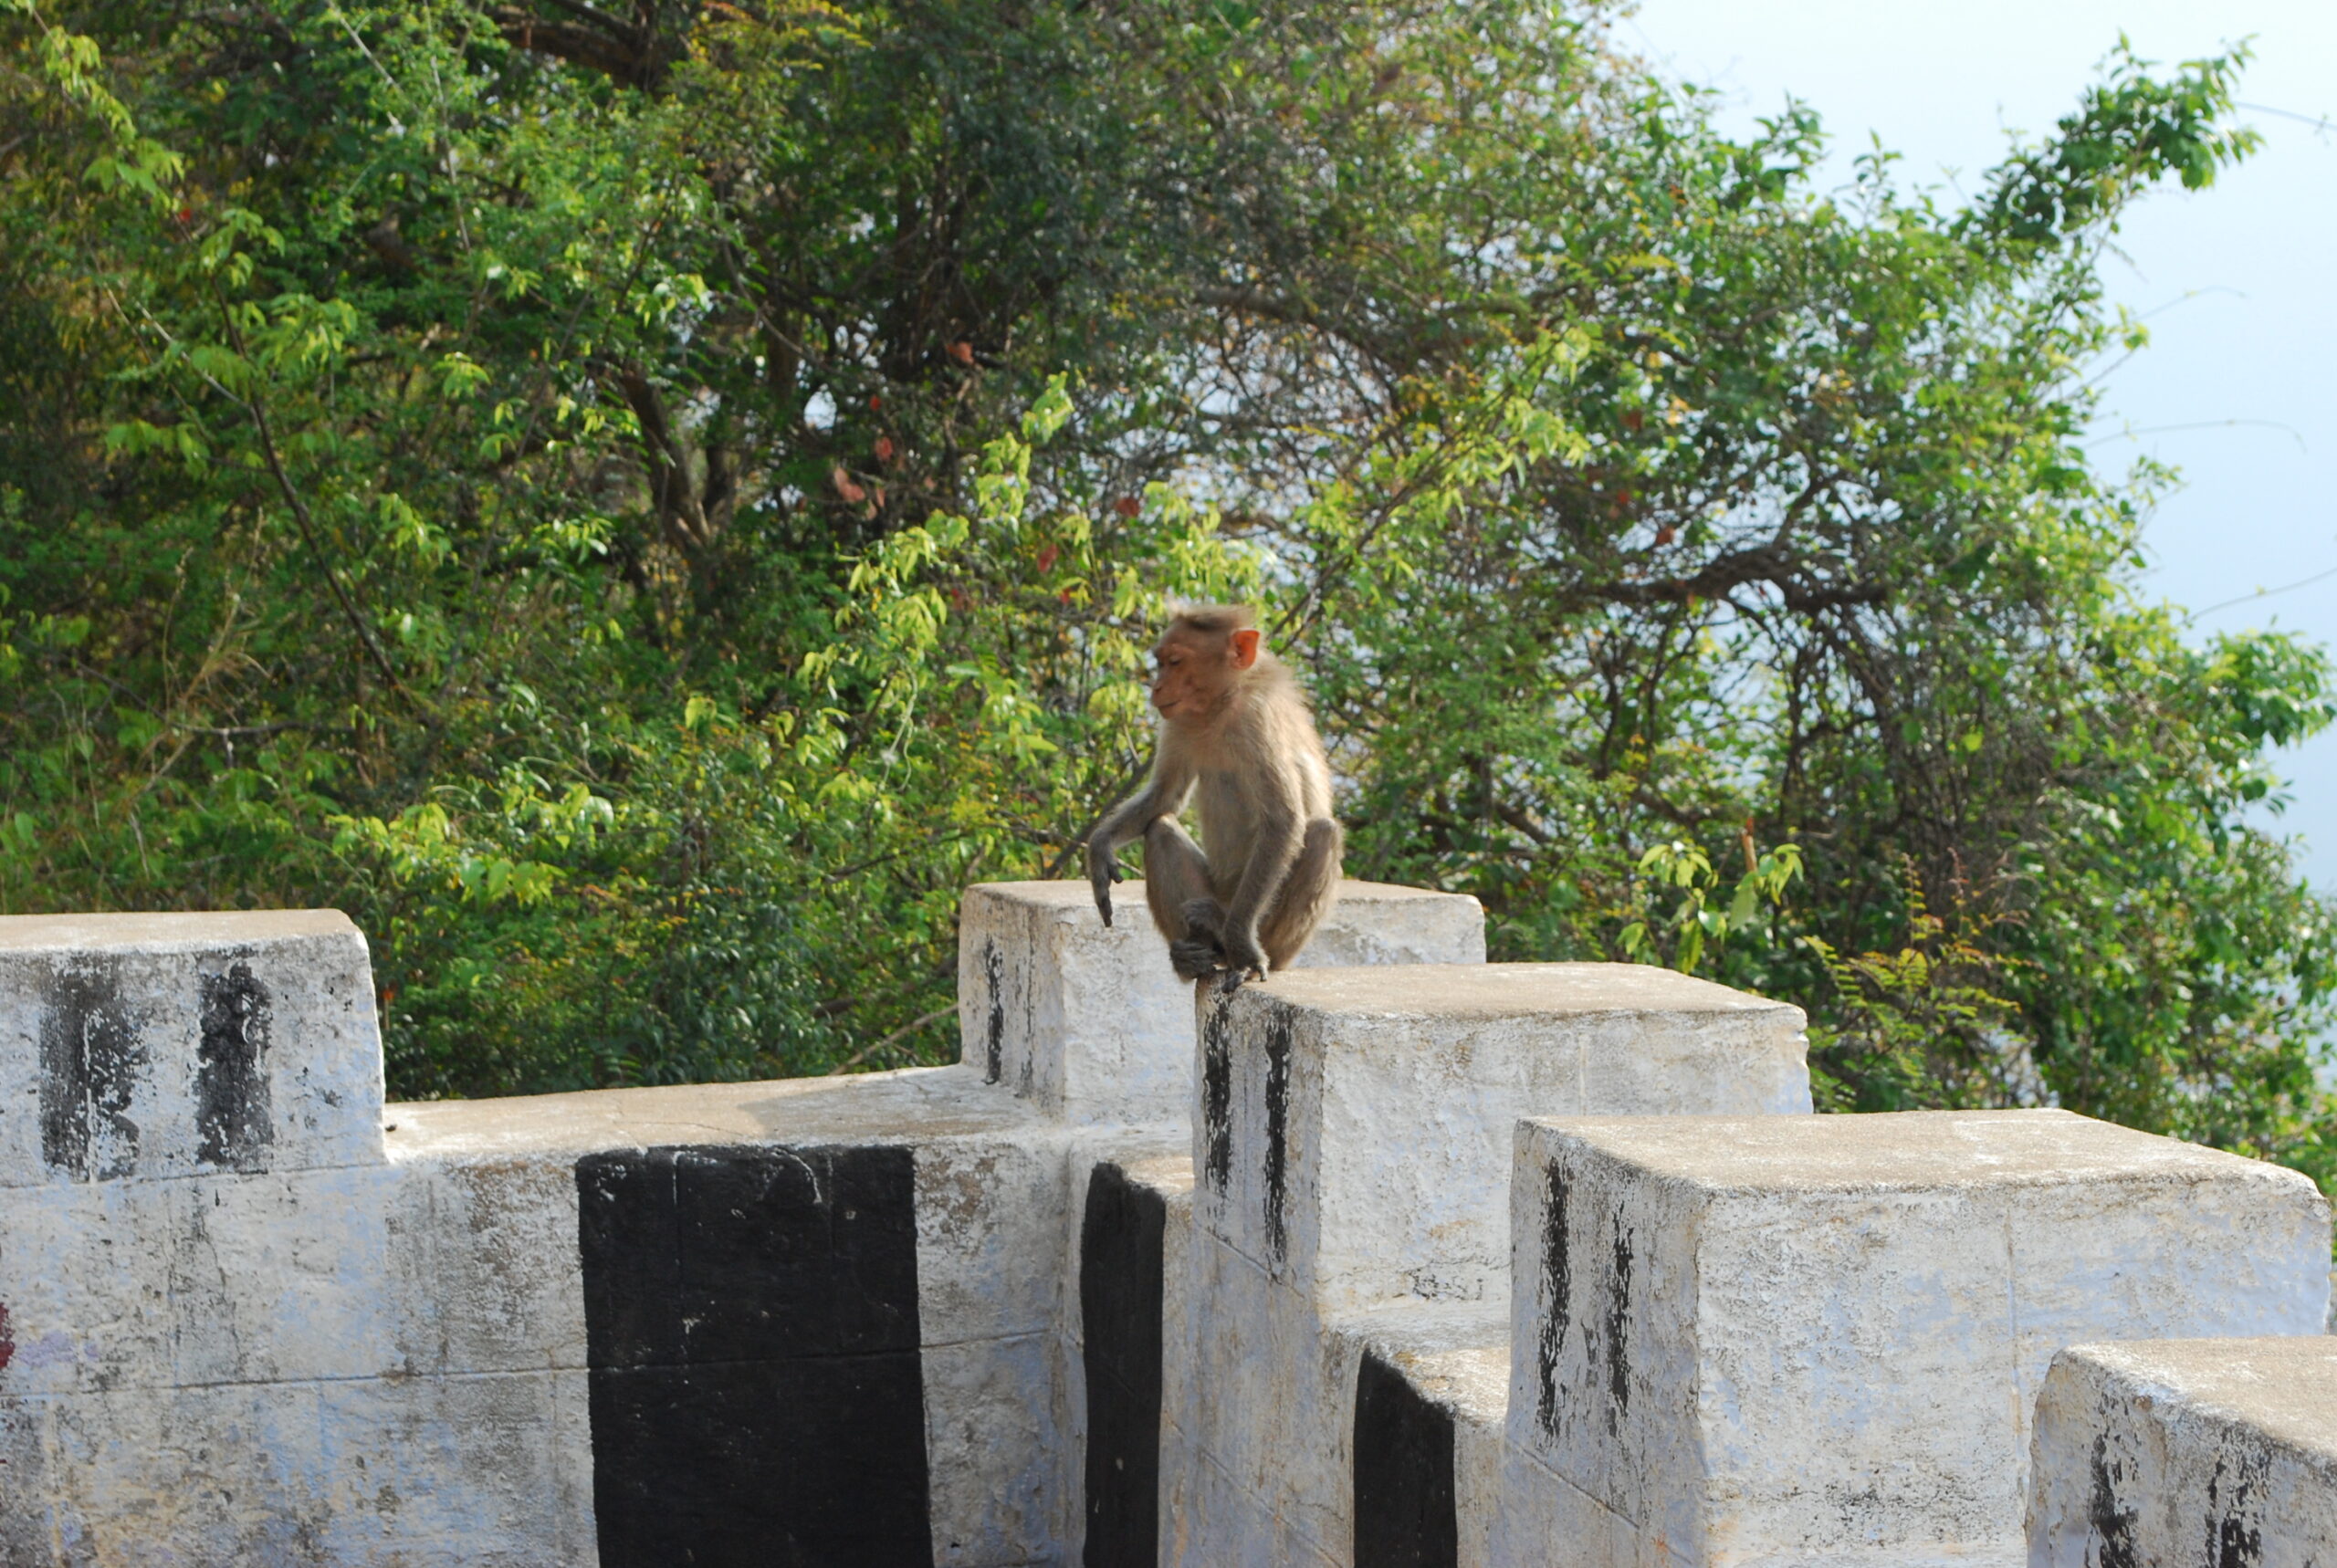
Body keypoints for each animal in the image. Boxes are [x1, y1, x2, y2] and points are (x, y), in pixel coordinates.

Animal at [1084, 602, 1346, 981]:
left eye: (1175, 661)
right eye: (1160, 661)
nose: (1156, 688)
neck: (1220, 707)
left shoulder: (1258, 719)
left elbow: (1282, 820)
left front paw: (1244, 947)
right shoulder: (1178, 720)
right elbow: (1164, 796)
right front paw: (1100, 848)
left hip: (1262, 922)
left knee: (1324, 833)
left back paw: (1228, 935)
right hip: (1213, 890)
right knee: (1160, 827)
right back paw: (1192, 955)